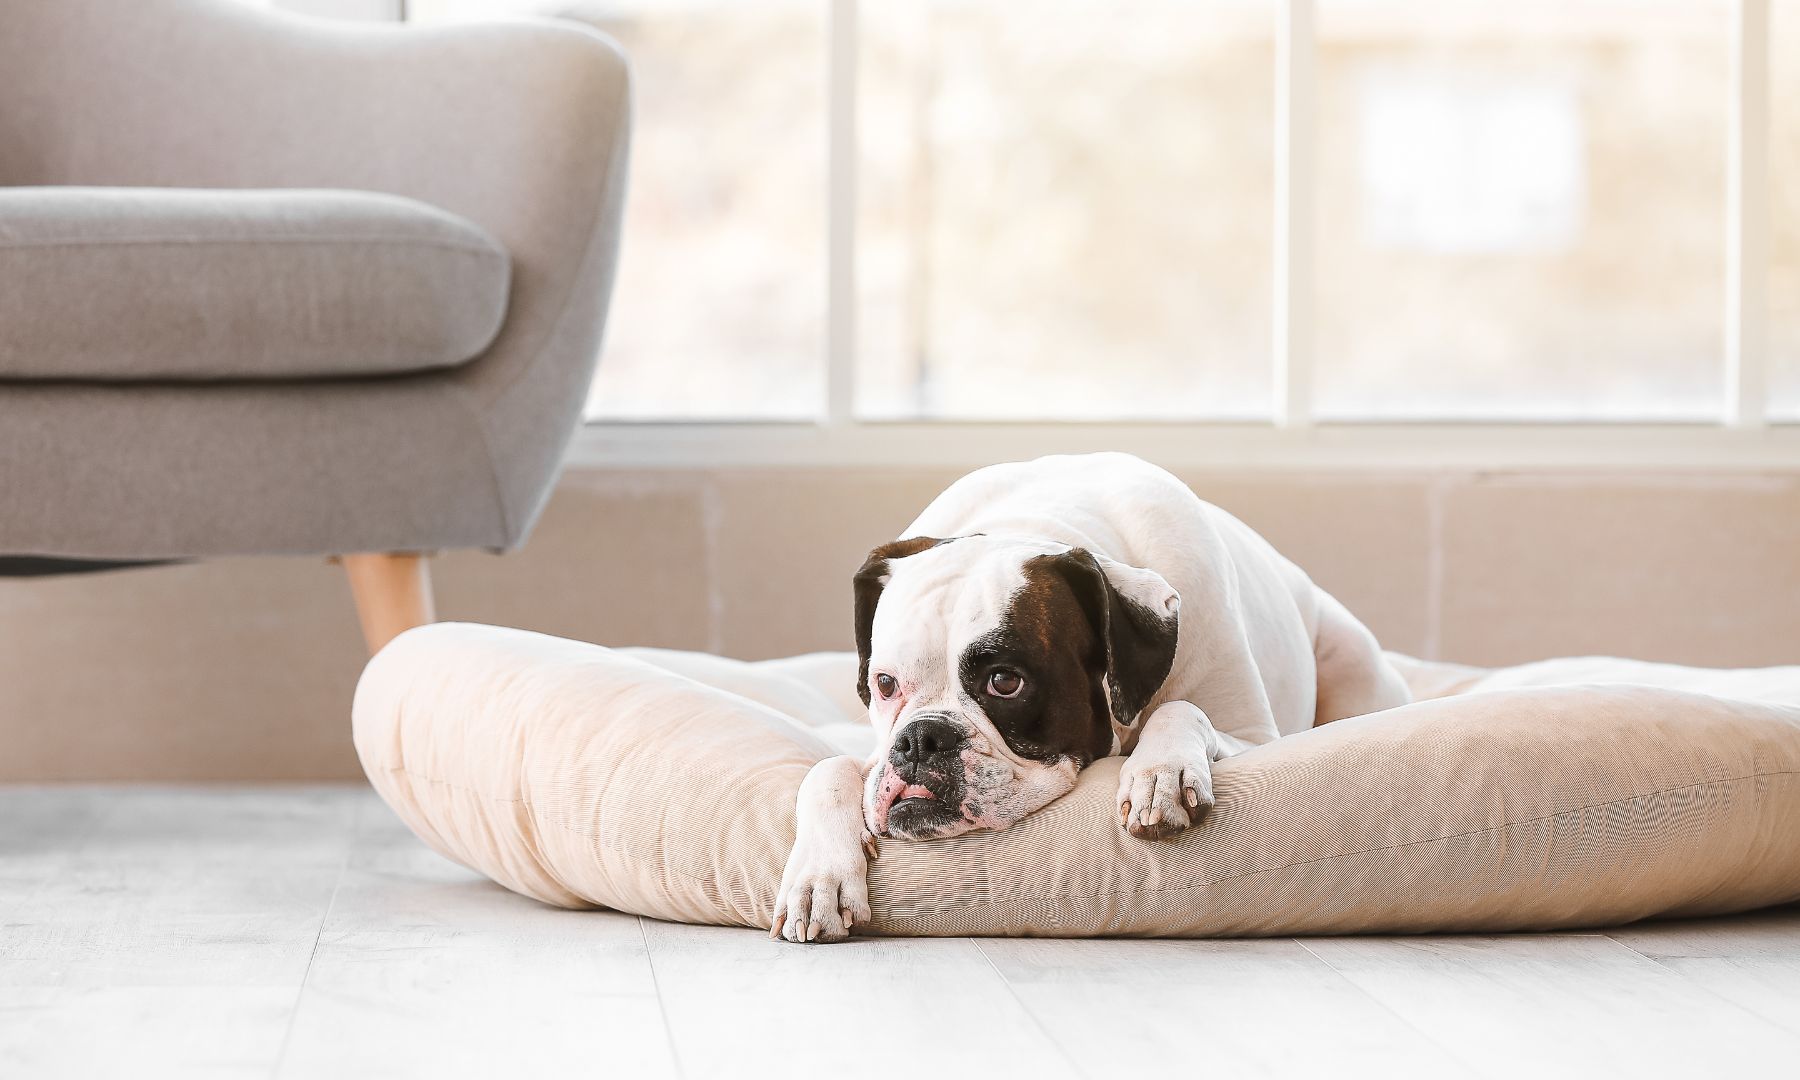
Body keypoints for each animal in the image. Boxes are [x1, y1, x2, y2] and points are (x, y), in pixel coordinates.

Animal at [766, 451, 1411, 943]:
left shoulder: (1257, 737)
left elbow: (1183, 708)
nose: (922, 739)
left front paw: (1160, 772)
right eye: (885, 684)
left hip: (1355, 662)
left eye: (1006, 682)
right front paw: (818, 878)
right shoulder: (869, 753)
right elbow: (826, 770)